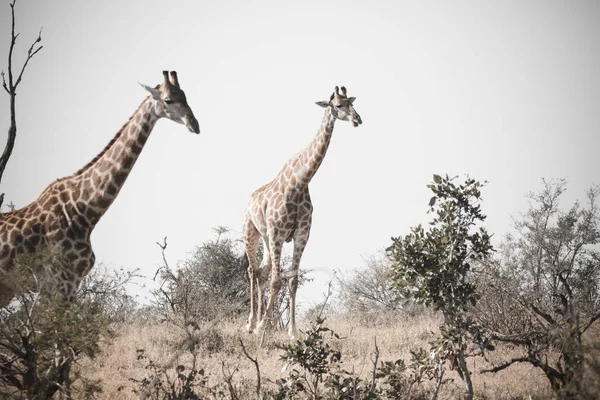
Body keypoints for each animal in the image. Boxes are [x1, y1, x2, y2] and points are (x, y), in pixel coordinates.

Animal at [0, 70, 202, 306]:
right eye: (168, 100)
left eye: (185, 96)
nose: (194, 124)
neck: (86, 209)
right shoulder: (60, 280)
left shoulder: (70, 281)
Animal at [243, 86, 360, 340]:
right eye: (338, 105)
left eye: (352, 102)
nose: (358, 119)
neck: (300, 182)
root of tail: (249, 200)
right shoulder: (278, 234)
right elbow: (277, 281)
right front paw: (262, 327)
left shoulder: (302, 234)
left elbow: (293, 280)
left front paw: (292, 332)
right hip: (251, 232)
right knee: (252, 270)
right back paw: (251, 323)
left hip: (266, 239)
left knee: (261, 272)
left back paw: (257, 322)